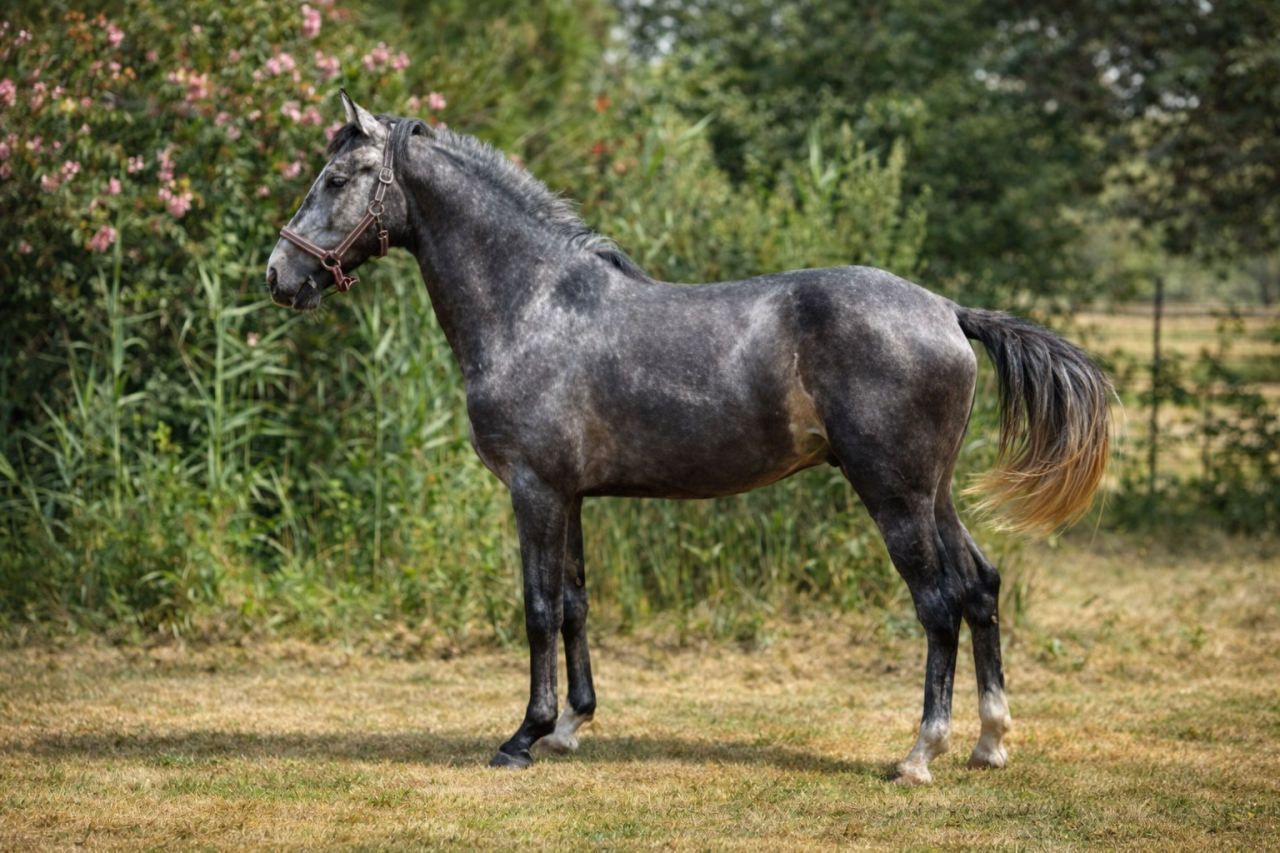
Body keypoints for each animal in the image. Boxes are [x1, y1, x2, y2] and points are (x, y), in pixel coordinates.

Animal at [265, 91, 1111, 784]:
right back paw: (989, 742)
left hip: (894, 493)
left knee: (937, 602)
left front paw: (523, 736)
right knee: (981, 586)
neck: (534, 303)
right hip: (933, 493)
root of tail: (948, 311)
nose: (279, 276)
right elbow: (574, 601)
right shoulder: (570, 494)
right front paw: (571, 726)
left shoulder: (534, 490)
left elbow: (537, 606)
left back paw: (920, 752)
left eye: (337, 179)